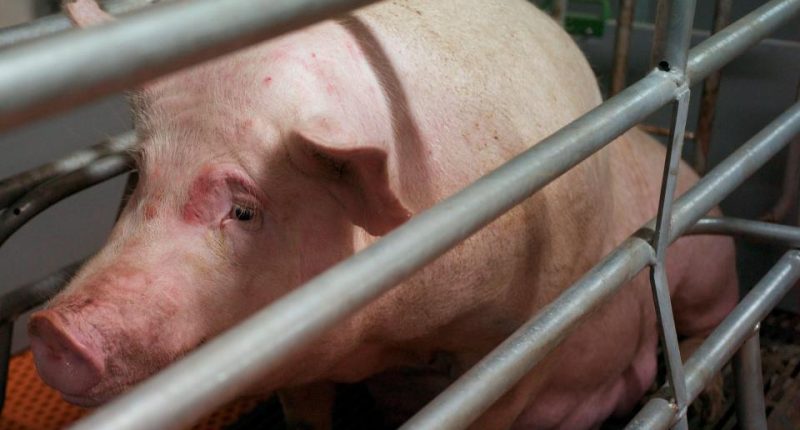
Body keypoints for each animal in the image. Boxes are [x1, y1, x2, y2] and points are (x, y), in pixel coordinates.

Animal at [28, 0, 738, 428]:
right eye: (137, 176)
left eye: (244, 209)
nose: (53, 330)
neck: (387, 334)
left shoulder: (535, 331)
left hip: (708, 264)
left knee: (711, 320)